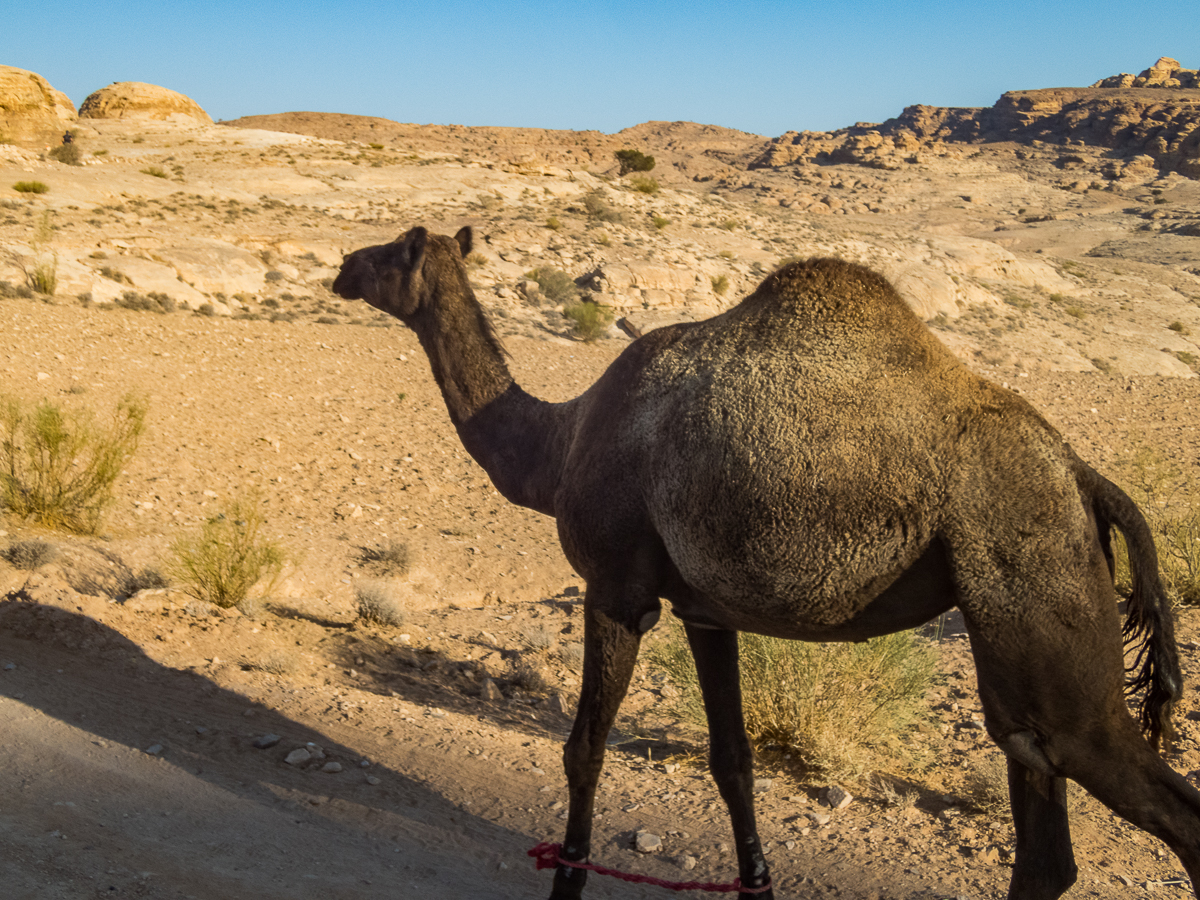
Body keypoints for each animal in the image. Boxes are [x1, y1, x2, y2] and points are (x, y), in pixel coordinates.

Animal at [333, 226, 1200, 900]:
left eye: (394, 248)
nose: (341, 266)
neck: (559, 442)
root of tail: (1082, 474)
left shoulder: (616, 588)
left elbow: (584, 750)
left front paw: (568, 882)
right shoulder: (703, 610)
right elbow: (733, 762)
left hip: (1036, 588)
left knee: (1156, 802)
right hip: (1016, 642)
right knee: (1040, 815)